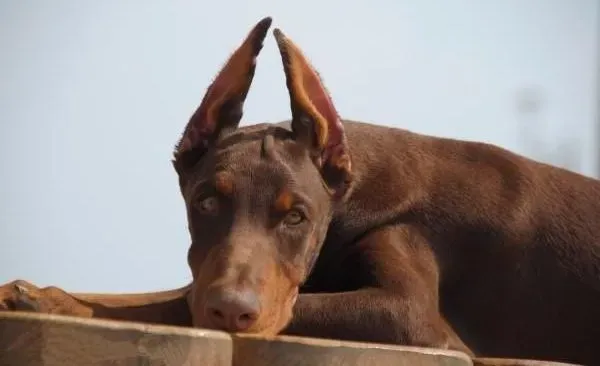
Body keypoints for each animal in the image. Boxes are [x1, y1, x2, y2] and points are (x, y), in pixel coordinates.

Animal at [1, 17, 600, 366]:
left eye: (297, 217)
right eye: (206, 202)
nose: (233, 312)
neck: (354, 197)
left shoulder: (411, 314)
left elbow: (186, 302)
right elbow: (174, 293)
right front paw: (42, 295)